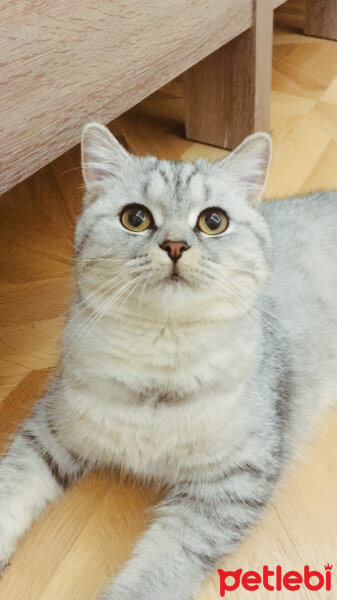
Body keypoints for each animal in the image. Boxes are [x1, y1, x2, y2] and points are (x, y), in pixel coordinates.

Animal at [0, 123, 336, 600]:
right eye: (135, 218)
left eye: (213, 221)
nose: (175, 245)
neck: (160, 353)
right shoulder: (49, 430)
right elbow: (10, 489)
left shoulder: (231, 483)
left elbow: (158, 570)